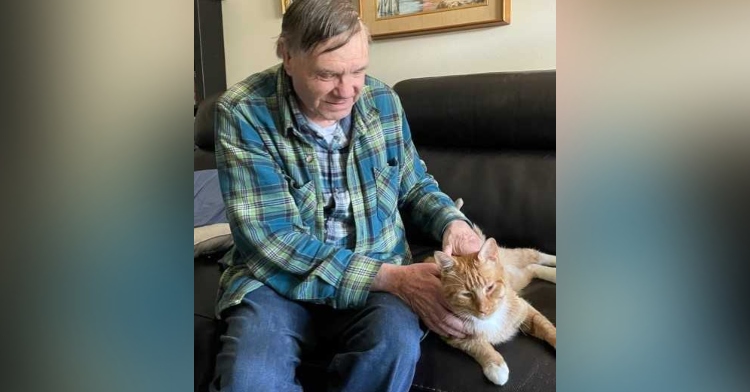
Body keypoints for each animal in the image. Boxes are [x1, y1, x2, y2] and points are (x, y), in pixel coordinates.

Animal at [428, 204, 560, 384]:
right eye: (466, 294)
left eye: (489, 287)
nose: (483, 310)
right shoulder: (453, 335)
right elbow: (477, 346)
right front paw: (496, 366)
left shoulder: (524, 308)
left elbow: (545, 326)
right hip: (521, 277)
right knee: (533, 268)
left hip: (518, 261)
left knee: (535, 255)